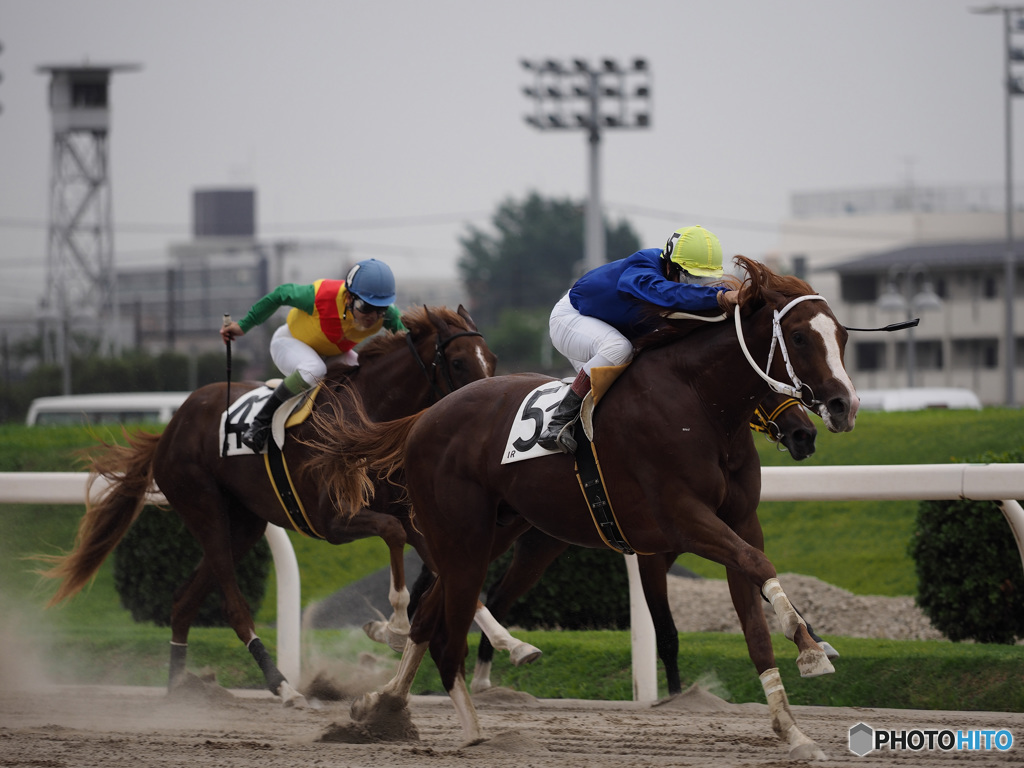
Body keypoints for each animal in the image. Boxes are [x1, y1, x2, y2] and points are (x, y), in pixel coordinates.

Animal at [40, 305, 496, 708]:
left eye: (490, 359)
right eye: (458, 362)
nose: (485, 407)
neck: (368, 418)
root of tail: (170, 428)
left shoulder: (404, 512)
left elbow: (446, 569)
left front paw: (506, 641)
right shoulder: (334, 521)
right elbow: (393, 534)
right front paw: (396, 626)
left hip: (244, 525)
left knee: (184, 600)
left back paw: (179, 691)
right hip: (203, 506)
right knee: (232, 605)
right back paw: (283, 687)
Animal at [470, 391, 828, 696]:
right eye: (765, 392)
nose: (805, 434)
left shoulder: (709, 535)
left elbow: (757, 572)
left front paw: (816, 639)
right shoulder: (653, 555)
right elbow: (667, 633)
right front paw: (675, 695)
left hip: (537, 543)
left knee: (498, 595)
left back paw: (489, 670)